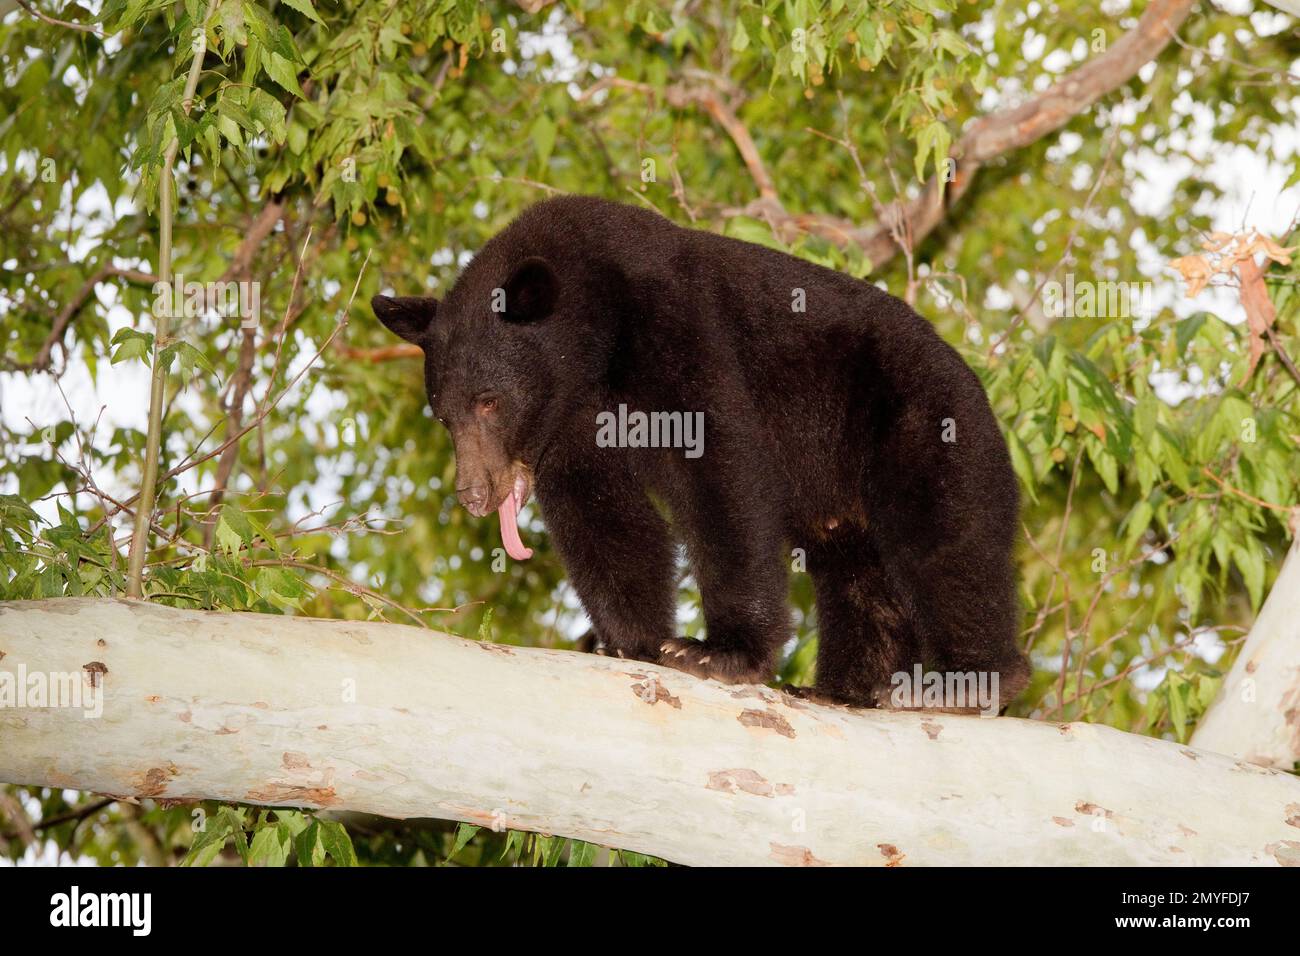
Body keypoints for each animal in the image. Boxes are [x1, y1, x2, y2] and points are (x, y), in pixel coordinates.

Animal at [371, 197, 1029, 712]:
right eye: (444, 414)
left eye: (489, 401)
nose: (474, 493)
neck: (598, 338)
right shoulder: (572, 422)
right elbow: (602, 511)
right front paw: (630, 640)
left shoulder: (677, 324)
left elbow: (721, 470)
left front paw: (718, 651)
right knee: (859, 575)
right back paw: (843, 690)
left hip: (918, 418)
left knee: (943, 540)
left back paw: (962, 681)